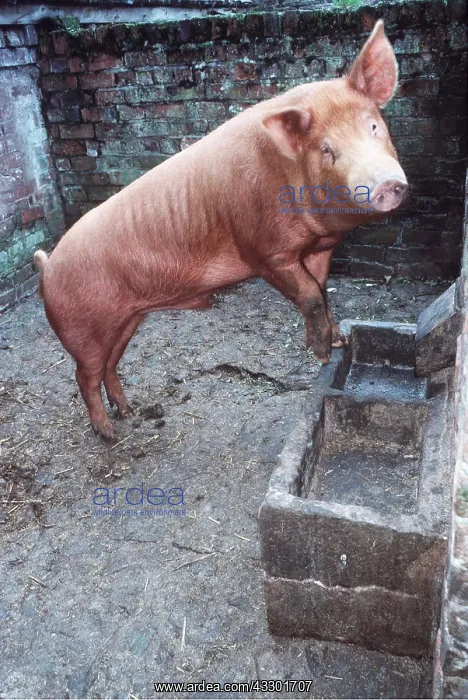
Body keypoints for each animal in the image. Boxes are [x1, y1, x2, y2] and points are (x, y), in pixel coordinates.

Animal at [34, 19, 407, 440]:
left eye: (374, 126)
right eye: (327, 149)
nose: (386, 185)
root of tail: (47, 265)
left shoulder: (317, 248)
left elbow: (322, 292)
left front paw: (339, 343)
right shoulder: (264, 250)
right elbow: (310, 294)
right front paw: (324, 353)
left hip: (126, 320)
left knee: (110, 366)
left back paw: (129, 412)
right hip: (83, 331)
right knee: (84, 376)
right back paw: (110, 434)